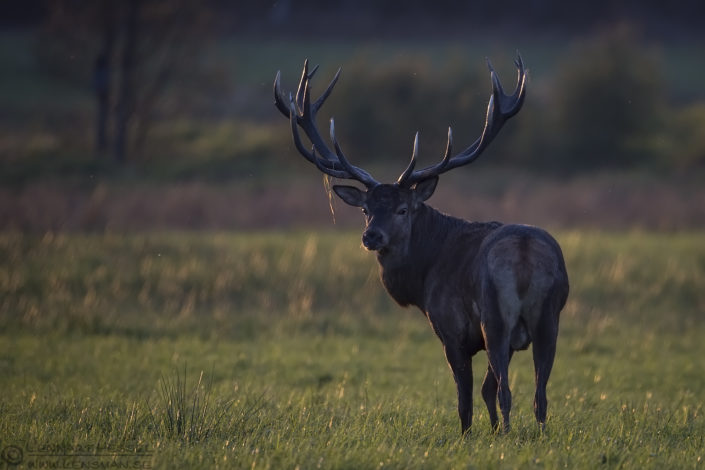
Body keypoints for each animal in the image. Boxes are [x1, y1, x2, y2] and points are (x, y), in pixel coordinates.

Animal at [273, 55, 569, 436]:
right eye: (366, 209)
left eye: (403, 209)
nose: (371, 236)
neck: (422, 280)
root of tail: (524, 250)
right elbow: (486, 390)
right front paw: (490, 435)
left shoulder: (451, 329)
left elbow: (465, 399)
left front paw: (469, 437)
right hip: (550, 318)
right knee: (539, 394)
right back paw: (533, 434)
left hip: (495, 317)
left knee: (506, 390)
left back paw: (506, 432)